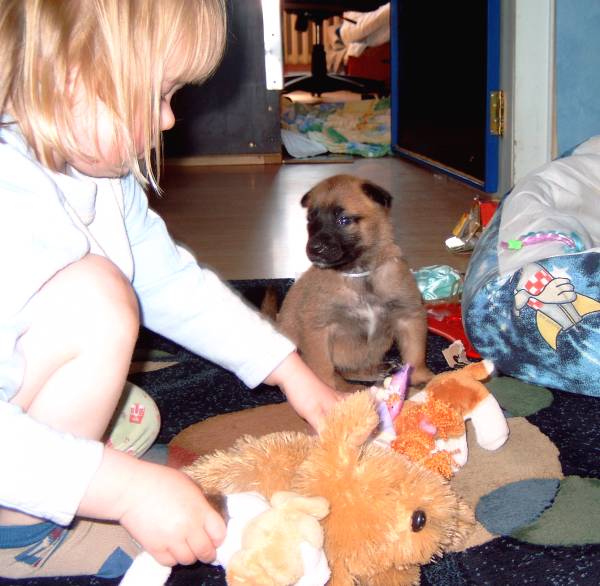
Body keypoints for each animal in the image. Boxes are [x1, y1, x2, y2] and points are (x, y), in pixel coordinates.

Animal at [274, 174, 433, 391]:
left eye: (344, 220)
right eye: (311, 220)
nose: (313, 248)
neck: (359, 276)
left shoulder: (409, 316)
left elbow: (415, 353)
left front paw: (420, 378)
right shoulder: (318, 327)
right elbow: (322, 367)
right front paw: (325, 390)